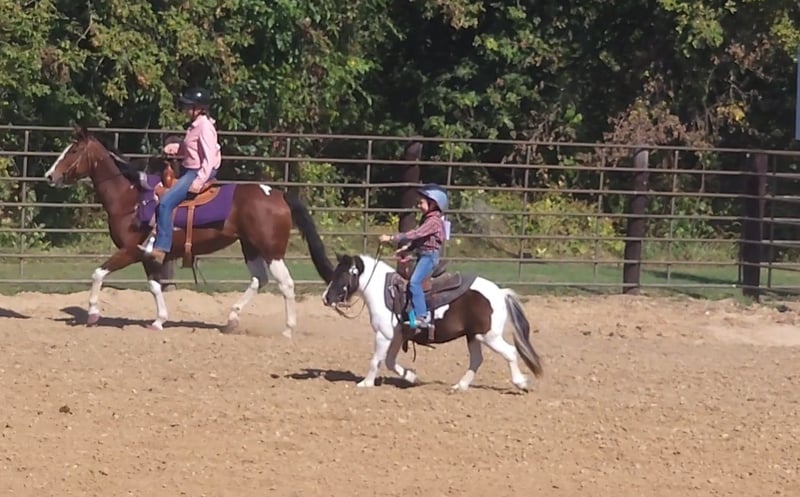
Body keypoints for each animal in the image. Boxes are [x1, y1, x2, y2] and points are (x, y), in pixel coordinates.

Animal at [44, 125, 334, 336]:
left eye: (73, 151)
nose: (49, 176)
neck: (132, 199)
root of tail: (278, 194)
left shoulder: (129, 251)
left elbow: (98, 274)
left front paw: (93, 313)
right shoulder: (148, 255)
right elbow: (154, 286)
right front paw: (159, 321)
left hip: (271, 250)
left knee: (285, 284)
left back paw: (287, 330)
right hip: (250, 247)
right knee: (258, 280)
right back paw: (232, 319)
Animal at [321, 252, 543, 391]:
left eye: (343, 274)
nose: (326, 298)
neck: (384, 292)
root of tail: (500, 293)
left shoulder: (383, 335)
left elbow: (376, 360)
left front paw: (366, 383)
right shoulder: (397, 335)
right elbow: (390, 361)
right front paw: (412, 377)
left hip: (489, 336)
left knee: (510, 352)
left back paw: (520, 383)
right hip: (474, 336)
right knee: (476, 360)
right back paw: (460, 386)